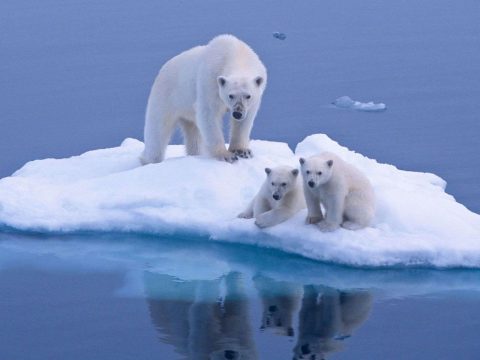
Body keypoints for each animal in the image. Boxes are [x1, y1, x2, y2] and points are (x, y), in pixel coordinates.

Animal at [141, 34, 268, 164]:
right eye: (230, 95)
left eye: (248, 96)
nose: (237, 113)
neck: (236, 54)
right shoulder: (210, 80)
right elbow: (208, 114)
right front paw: (226, 155)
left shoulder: (256, 95)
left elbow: (245, 121)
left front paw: (242, 151)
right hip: (165, 97)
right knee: (157, 132)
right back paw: (148, 160)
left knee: (193, 134)